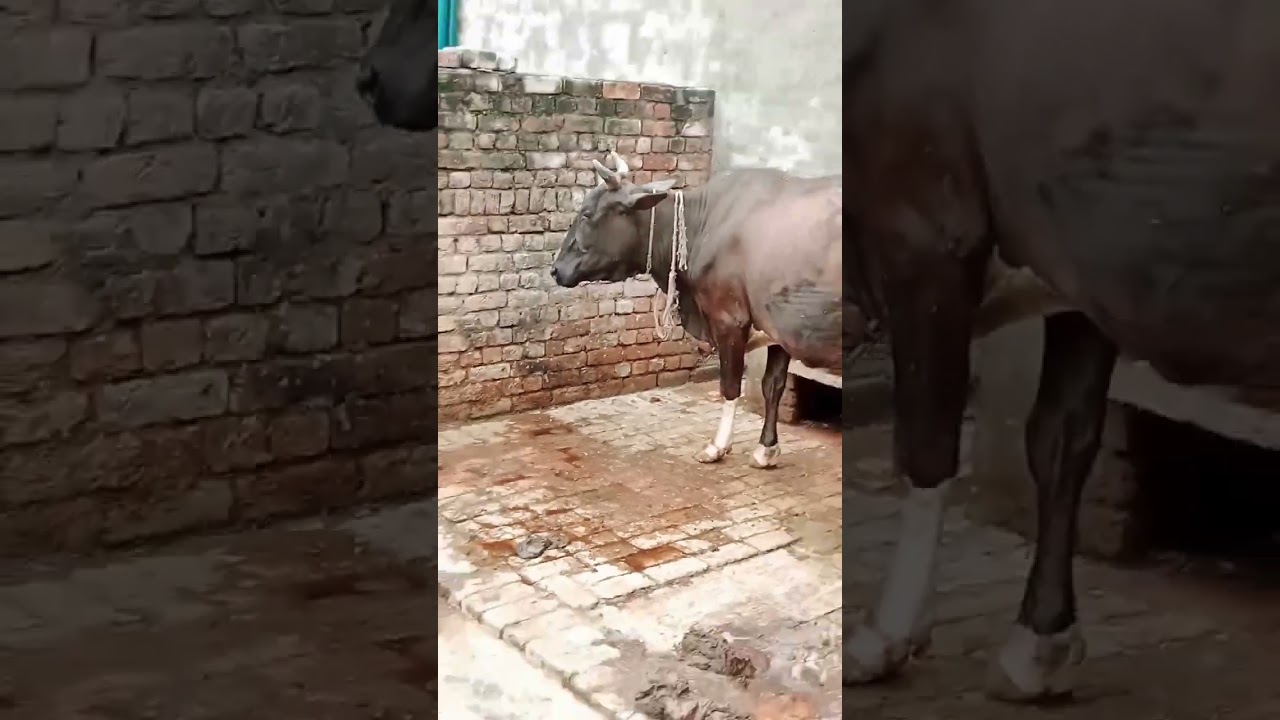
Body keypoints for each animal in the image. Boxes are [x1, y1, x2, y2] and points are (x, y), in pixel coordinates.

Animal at [551, 152, 857, 469]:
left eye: (587, 214)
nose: (556, 269)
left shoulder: (729, 318)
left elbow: (730, 386)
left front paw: (717, 446)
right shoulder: (778, 324)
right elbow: (773, 385)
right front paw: (765, 449)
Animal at [845, 0, 1280, 704]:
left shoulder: (923, 224)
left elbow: (926, 444)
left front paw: (886, 634)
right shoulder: (1079, 261)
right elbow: (1061, 438)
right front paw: (1040, 644)